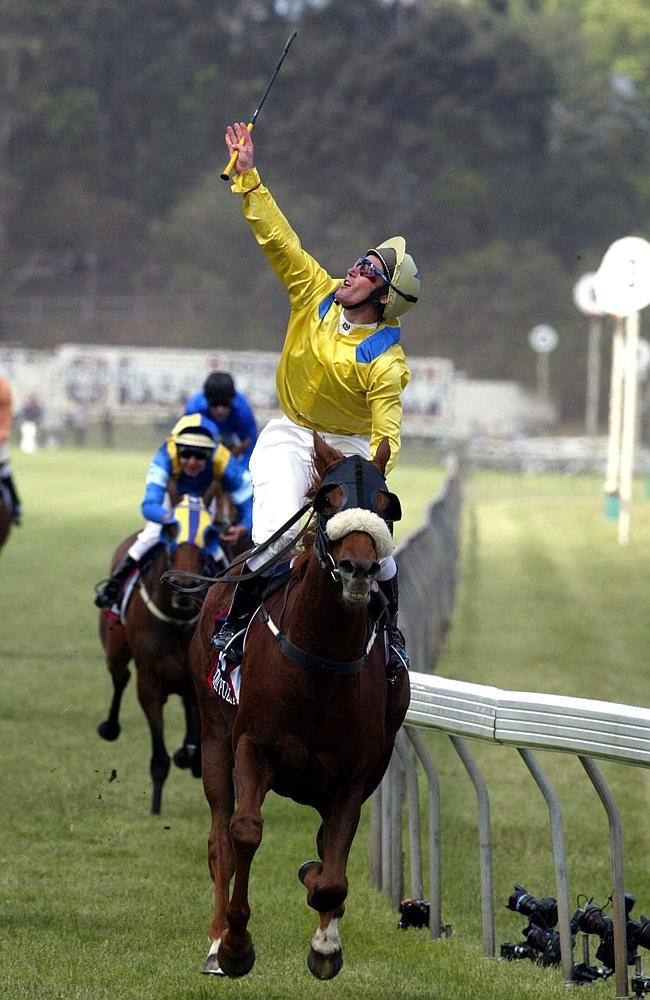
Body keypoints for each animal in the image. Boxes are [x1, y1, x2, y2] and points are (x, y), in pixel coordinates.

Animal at [97, 492, 220, 812]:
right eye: (172, 532)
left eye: (209, 535)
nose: (185, 586)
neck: (176, 619)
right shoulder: (149, 683)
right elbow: (159, 757)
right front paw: (154, 807)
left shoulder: (198, 678)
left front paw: (190, 755)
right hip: (115, 648)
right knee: (119, 677)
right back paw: (110, 727)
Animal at [189, 436, 410, 976]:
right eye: (328, 501)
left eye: (385, 505)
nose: (358, 569)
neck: (320, 657)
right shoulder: (252, 745)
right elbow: (244, 832)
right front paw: (236, 945)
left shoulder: (356, 772)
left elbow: (332, 868)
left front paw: (325, 941)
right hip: (213, 736)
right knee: (220, 839)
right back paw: (215, 942)